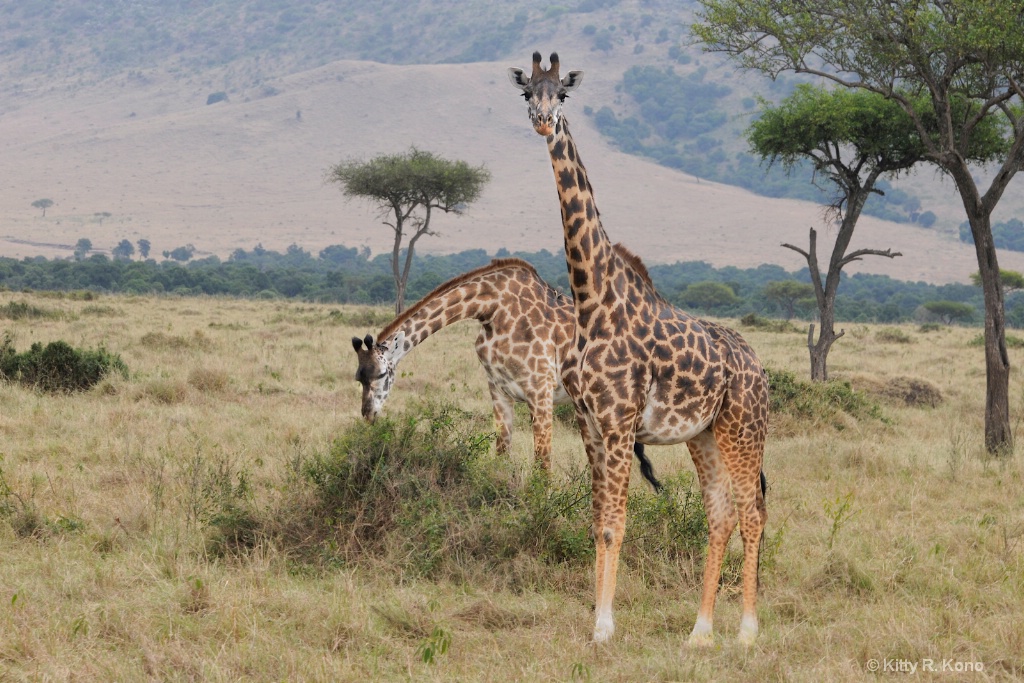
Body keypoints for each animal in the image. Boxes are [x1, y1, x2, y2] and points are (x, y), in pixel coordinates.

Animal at [352, 254, 663, 485]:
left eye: (381, 374)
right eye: (358, 378)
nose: (368, 414)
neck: (491, 309)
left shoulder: (540, 390)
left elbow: (543, 464)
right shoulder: (499, 391)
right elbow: (501, 455)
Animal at [512, 52, 770, 647]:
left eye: (562, 94)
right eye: (527, 92)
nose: (542, 122)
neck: (591, 299)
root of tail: (759, 367)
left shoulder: (618, 423)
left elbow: (615, 524)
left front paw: (605, 626)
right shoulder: (588, 423)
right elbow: (596, 523)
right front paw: (596, 618)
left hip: (744, 430)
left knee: (752, 514)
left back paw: (747, 631)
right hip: (704, 435)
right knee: (720, 515)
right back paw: (700, 631)